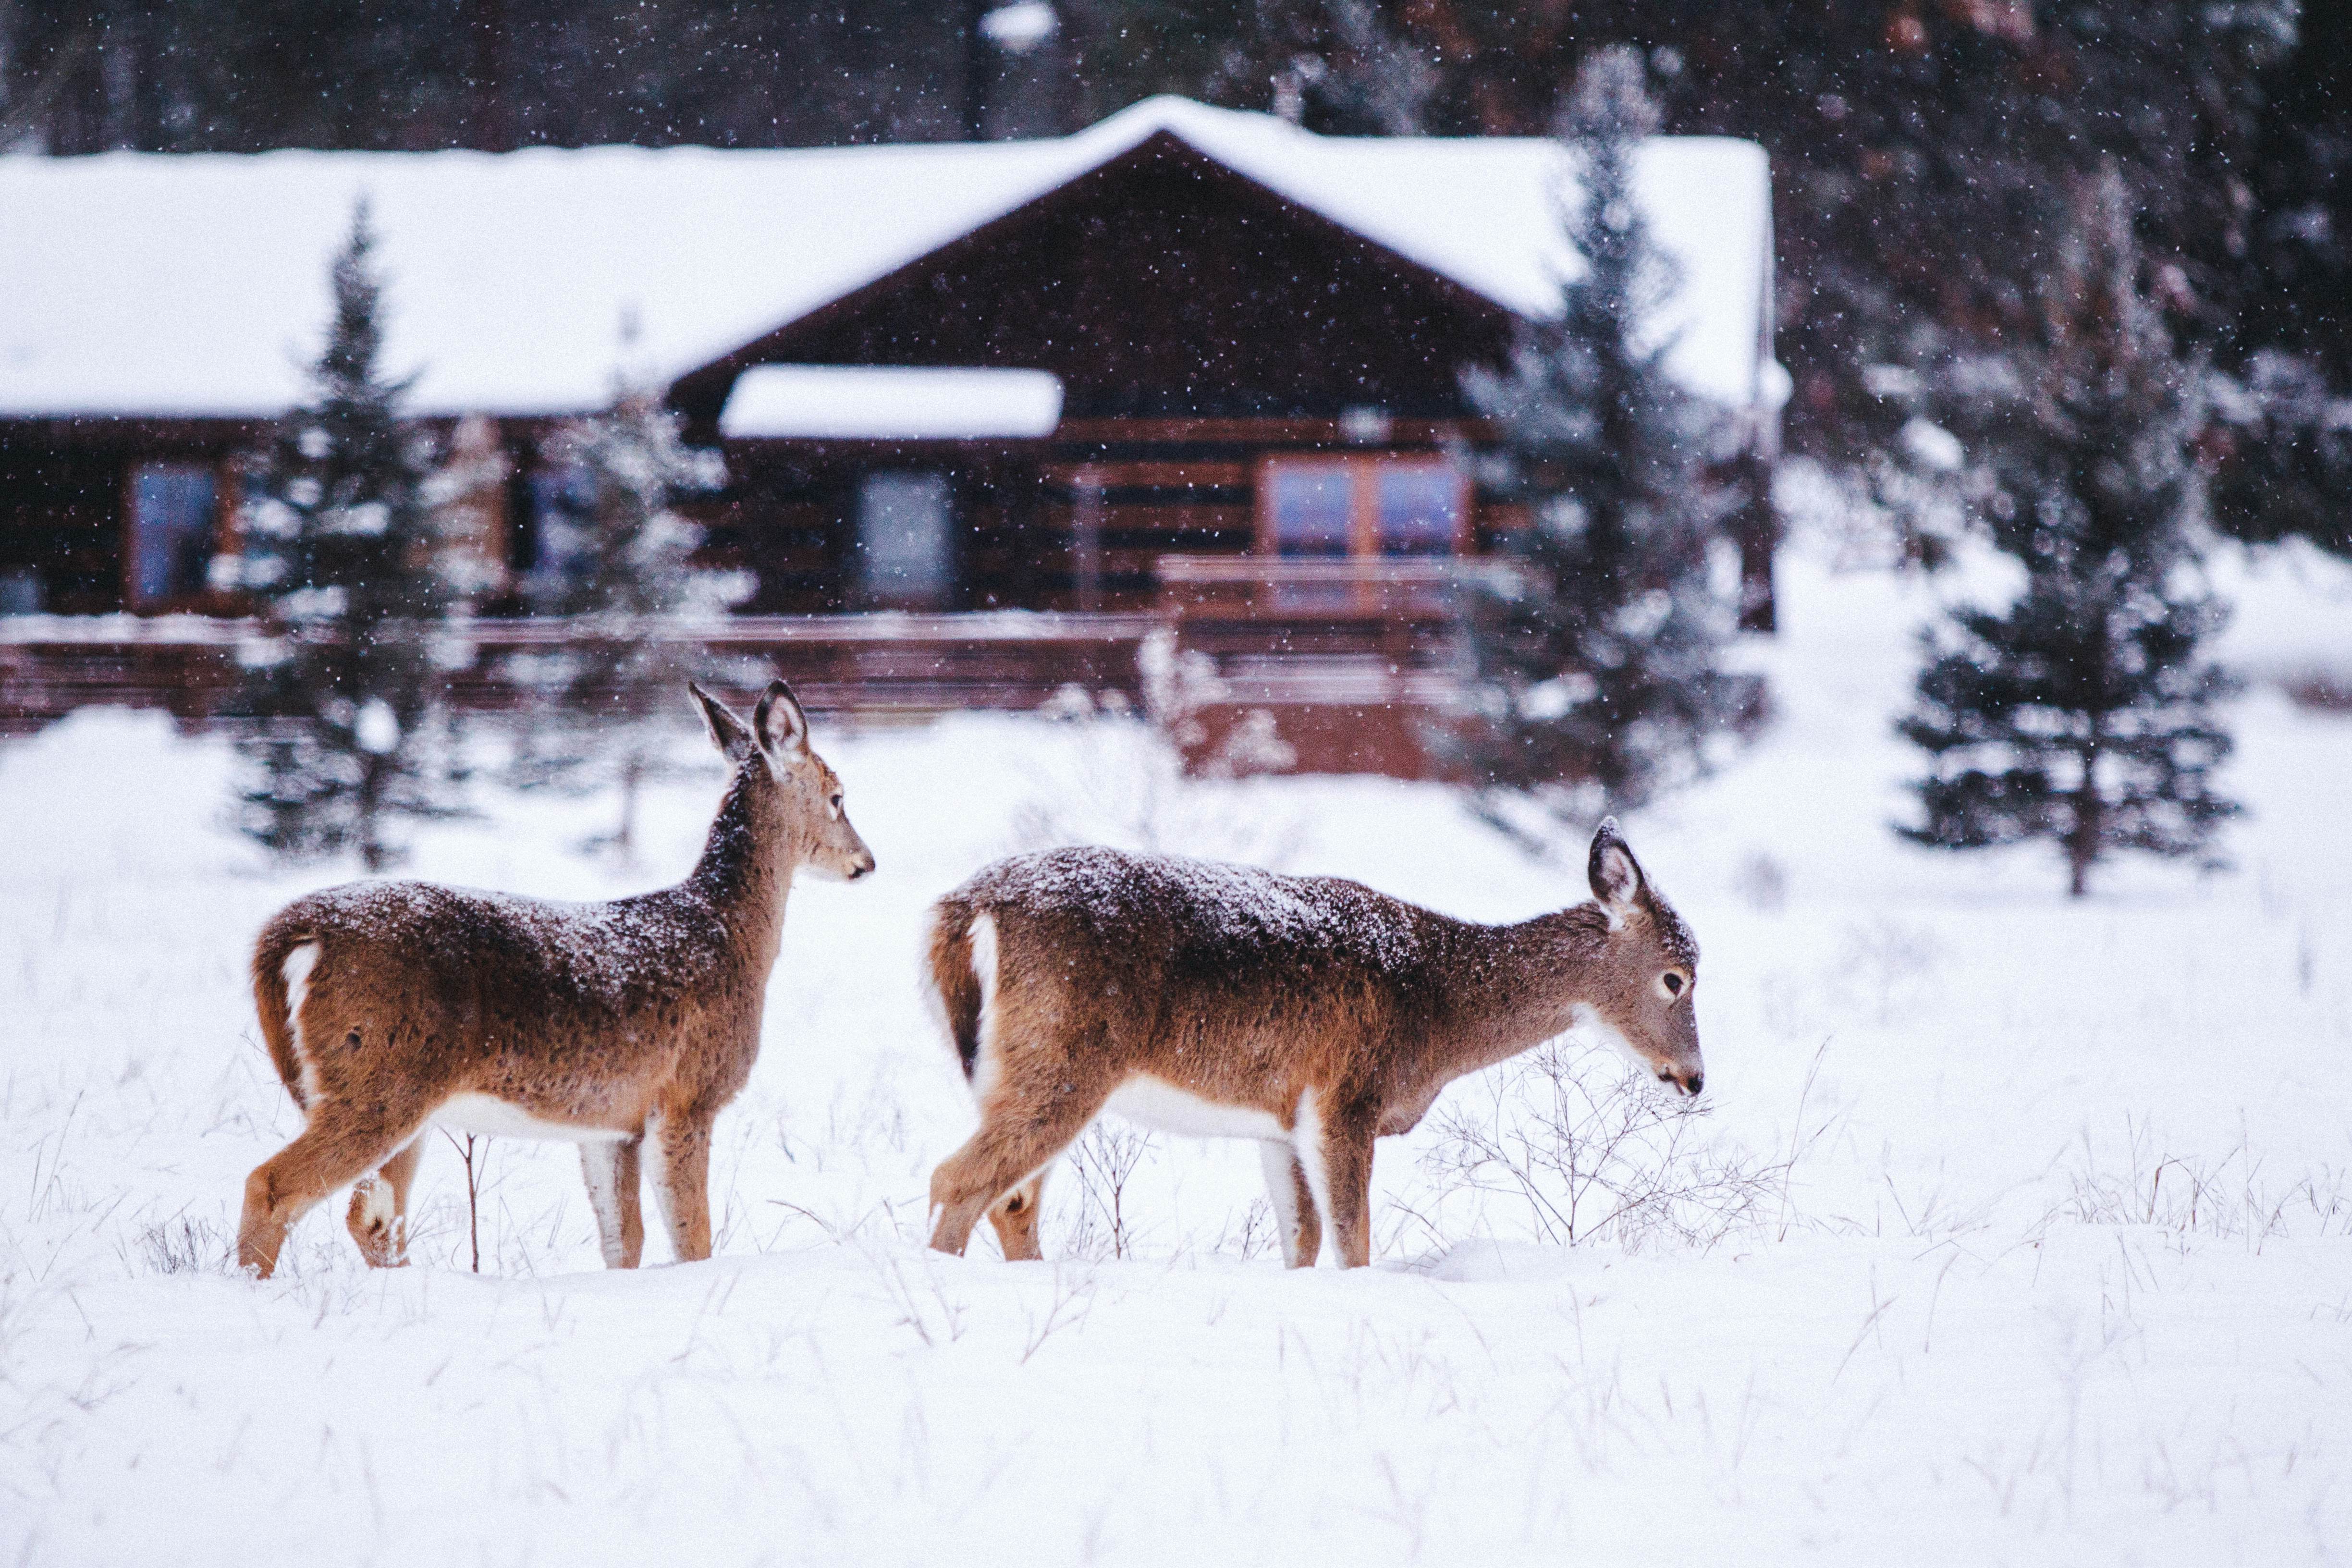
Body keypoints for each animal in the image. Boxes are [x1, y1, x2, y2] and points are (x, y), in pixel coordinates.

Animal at [234, 679, 874, 1279]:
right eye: (838, 797)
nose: (865, 862)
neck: (725, 930)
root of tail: (289, 934)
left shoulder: (611, 1125)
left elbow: (624, 1243)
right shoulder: (688, 1095)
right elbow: (692, 1240)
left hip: (390, 1097)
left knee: (372, 1217)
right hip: (378, 1079)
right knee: (273, 1186)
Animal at [921, 820, 1701, 1269]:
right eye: (1677, 978)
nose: (1694, 1078)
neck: (1439, 1006)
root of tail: (962, 910)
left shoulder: (1281, 1121)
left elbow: (1304, 1240)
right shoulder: (1347, 1095)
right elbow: (1354, 1243)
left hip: (1018, 1073)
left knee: (1012, 1202)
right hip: (1063, 1061)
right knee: (958, 1181)